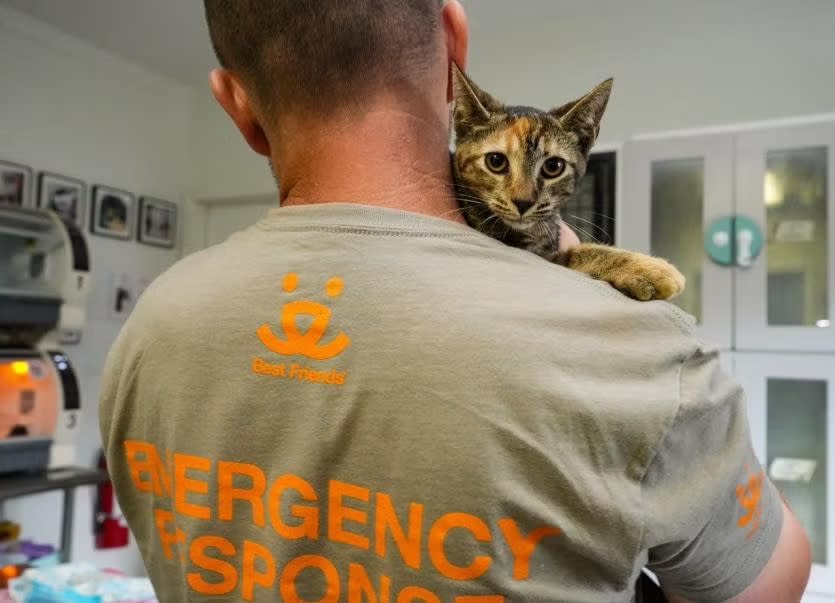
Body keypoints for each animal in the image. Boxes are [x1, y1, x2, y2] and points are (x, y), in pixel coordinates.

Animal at [450, 66, 684, 304]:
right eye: (496, 161)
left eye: (553, 166)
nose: (523, 202)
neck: (534, 234)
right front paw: (650, 269)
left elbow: (574, 253)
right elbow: (578, 253)